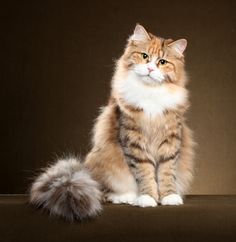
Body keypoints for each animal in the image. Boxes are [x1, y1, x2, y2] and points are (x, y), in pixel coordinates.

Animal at [30, 24, 195, 221]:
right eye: (144, 56)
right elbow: (145, 172)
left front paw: (168, 196)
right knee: (105, 192)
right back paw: (128, 197)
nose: (149, 69)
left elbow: (167, 172)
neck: (150, 94)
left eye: (162, 62)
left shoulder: (170, 141)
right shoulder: (133, 140)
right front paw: (148, 198)